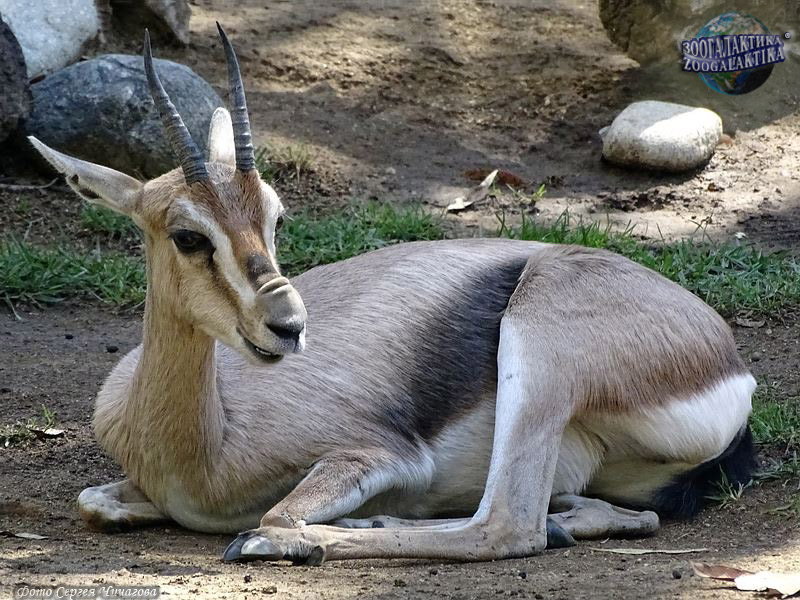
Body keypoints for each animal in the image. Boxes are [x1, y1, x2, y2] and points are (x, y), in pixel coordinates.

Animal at [28, 26, 756, 565]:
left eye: (276, 216)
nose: (288, 326)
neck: (202, 445)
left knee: (504, 526)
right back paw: (558, 516)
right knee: (626, 516)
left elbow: (278, 512)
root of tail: (731, 364)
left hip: (538, 351)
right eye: (187, 235)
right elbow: (95, 501)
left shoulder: (381, 455)